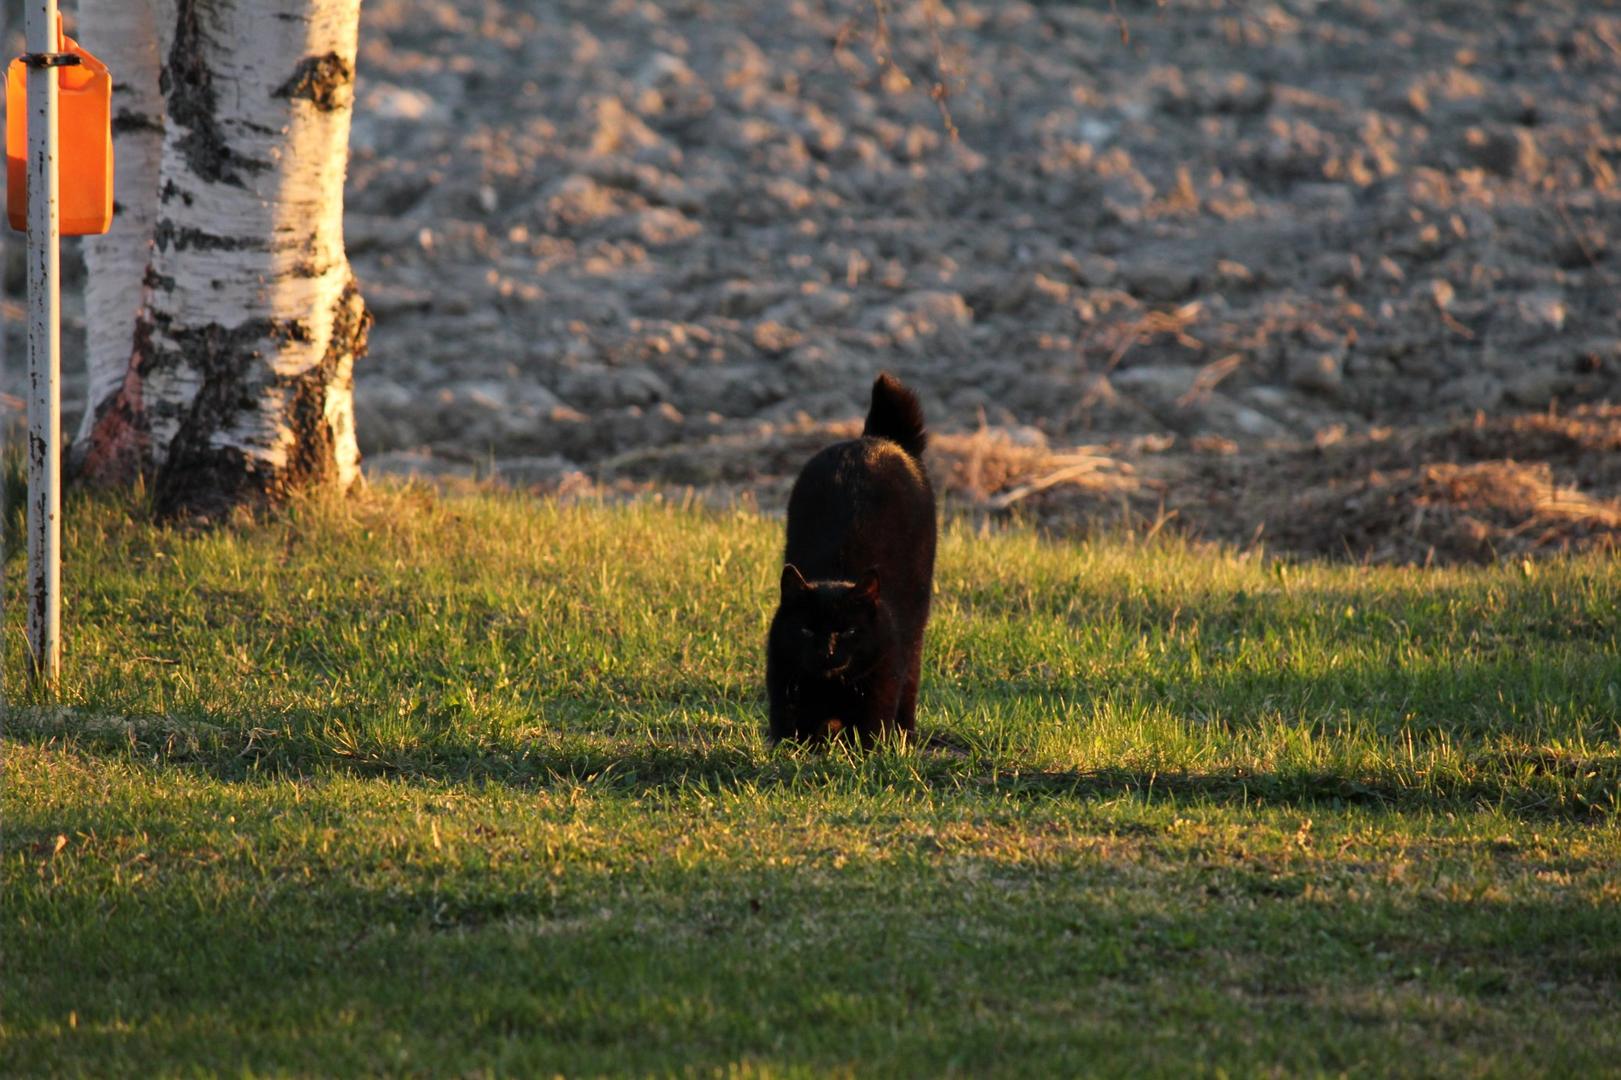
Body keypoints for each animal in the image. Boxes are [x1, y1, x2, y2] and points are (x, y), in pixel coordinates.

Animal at [766, 373, 937, 745]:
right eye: (806, 629)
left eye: (848, 631)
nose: (827, 651)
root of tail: (874, 438)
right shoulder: (783, 678)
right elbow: (789, 734)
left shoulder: (881, 682)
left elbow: (871, 733)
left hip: (915, 628)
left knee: (911, 680)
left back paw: (906, 734)